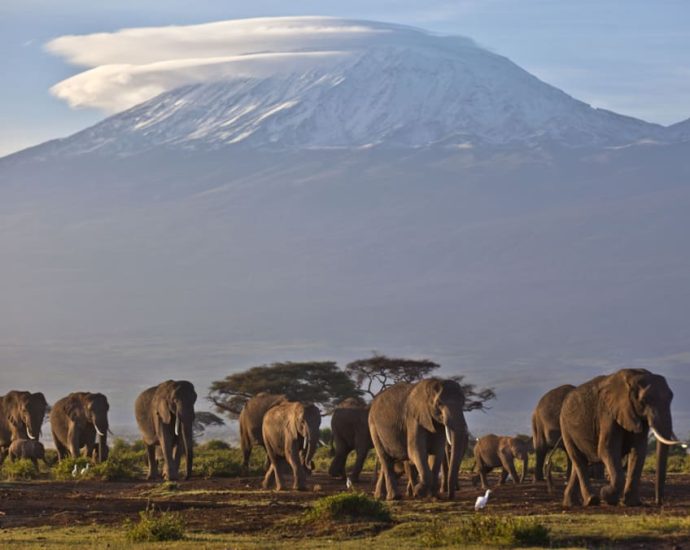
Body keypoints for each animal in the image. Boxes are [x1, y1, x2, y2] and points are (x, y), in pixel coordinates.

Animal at [560, 370, 680, 508]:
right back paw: (592, 500)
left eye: (671, 398)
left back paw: (571, 503)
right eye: (644, 400)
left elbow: (638, 451)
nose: (658, 503)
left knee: (580, 462)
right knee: (578, 460)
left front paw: (632, 503)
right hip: (565, 428)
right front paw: (606, 495)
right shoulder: (607, 413)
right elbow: (607, 449)